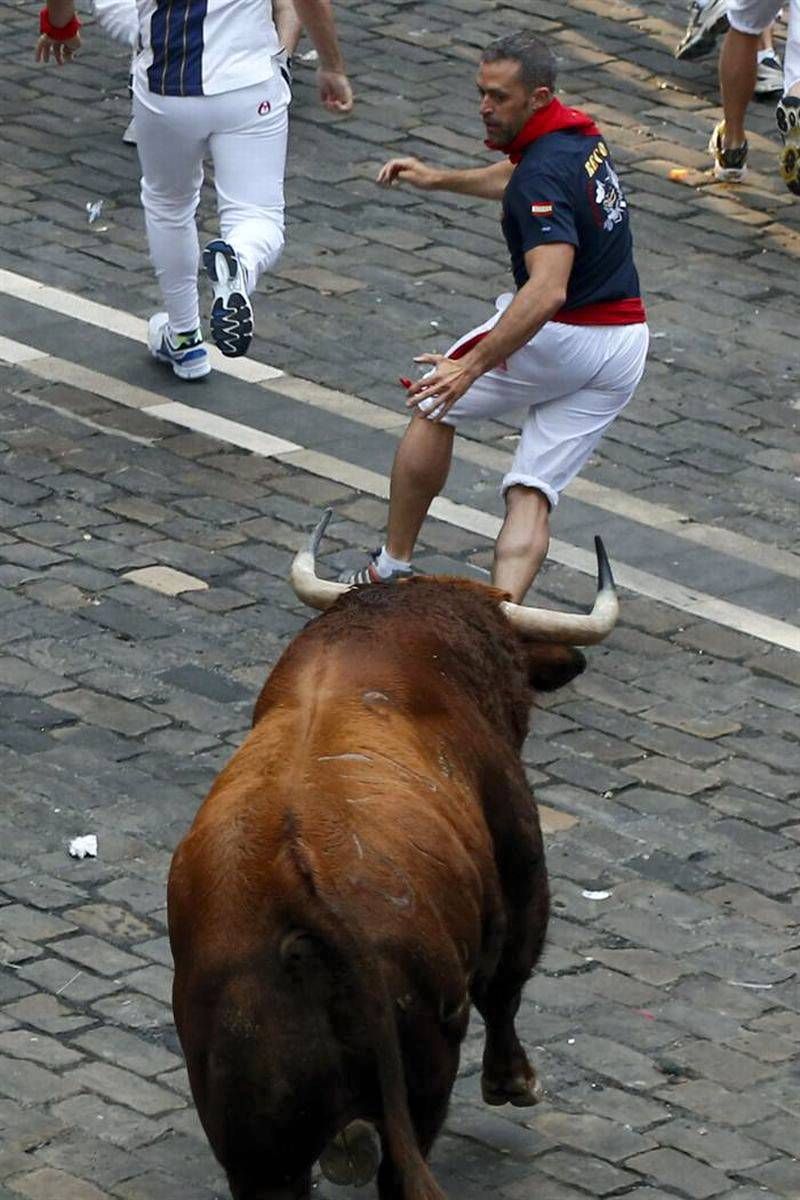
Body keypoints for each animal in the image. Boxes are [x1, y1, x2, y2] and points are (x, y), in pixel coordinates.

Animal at [169, 513, 618, 1200]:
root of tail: (291, 884)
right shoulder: (521, 866)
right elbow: (508, 983)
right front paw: (514, 1081)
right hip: (425, 1071)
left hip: (253, 1139)